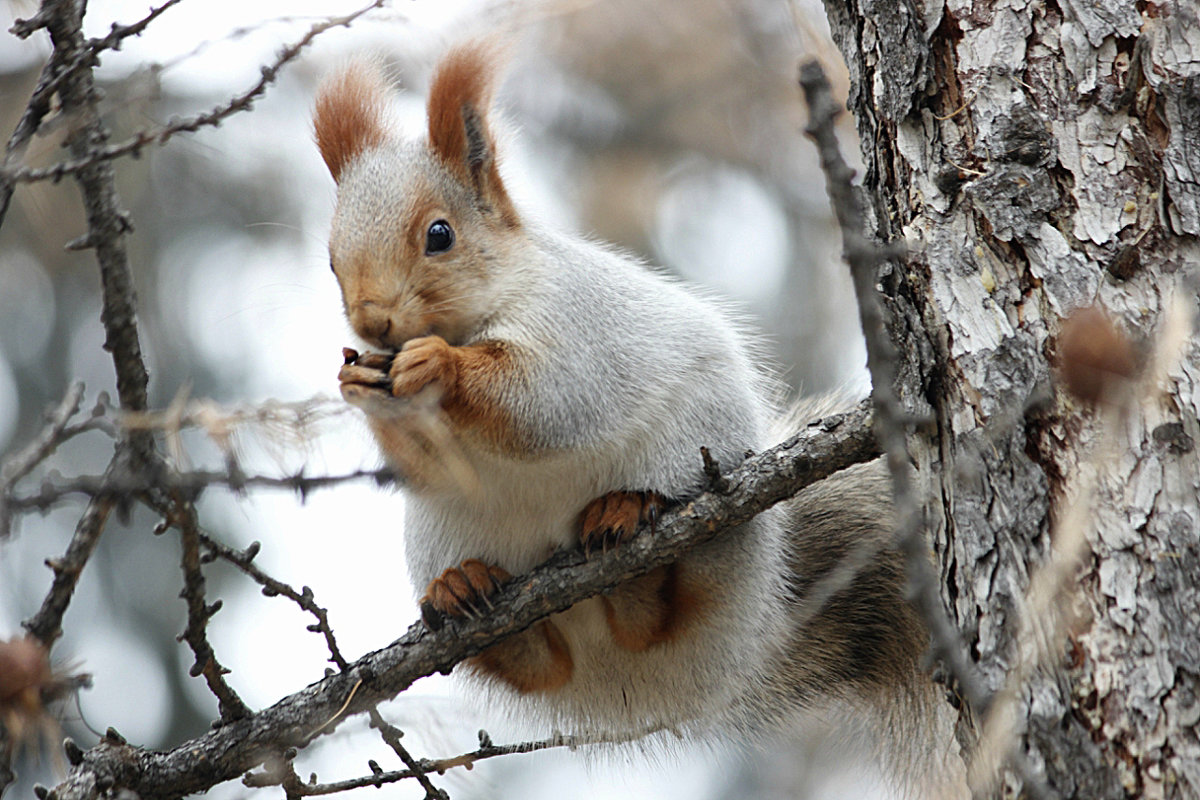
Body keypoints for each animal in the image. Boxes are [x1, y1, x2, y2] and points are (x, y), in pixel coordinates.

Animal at [312, 40, 955, 791]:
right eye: (332, 261)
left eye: (438, 235)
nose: (370, 321)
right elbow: (423, 459)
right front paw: (359, 383)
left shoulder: (579, 326)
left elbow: (544, 402)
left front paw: (437, 366)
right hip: (440, 532)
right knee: (538, 663)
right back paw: (467, 592)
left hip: (706, 502)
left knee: (663, 607)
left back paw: (627, 531)